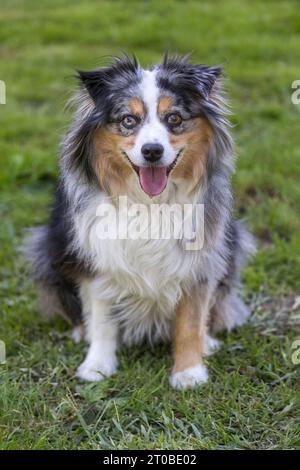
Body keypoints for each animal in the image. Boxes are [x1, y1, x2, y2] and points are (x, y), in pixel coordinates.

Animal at [26, 53, 255, 388]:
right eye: (128, 120)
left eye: (174, 118)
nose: (152, 151)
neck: (149, 203)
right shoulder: (99, 258)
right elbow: (103, 317)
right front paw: (97, 365)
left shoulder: (201, 260)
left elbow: (191, 320)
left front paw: (189, 371)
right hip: (45, 246)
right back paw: (80, 331)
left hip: (234, 244)